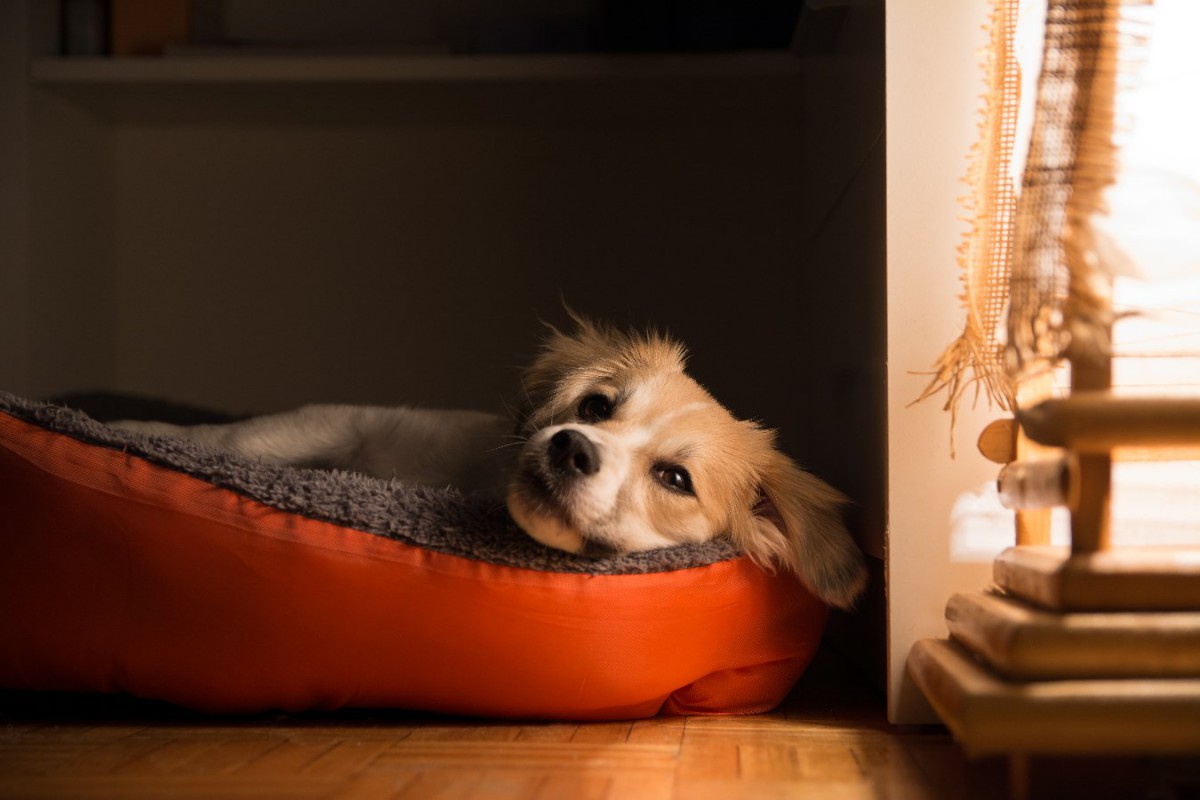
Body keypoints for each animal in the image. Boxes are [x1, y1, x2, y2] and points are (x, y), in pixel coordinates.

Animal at [119, 319, 864, 606]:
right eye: (596, 406)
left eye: (675, 478)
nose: (569, 445)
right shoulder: (343, 421)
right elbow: (236, 439)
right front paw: (133, 429)